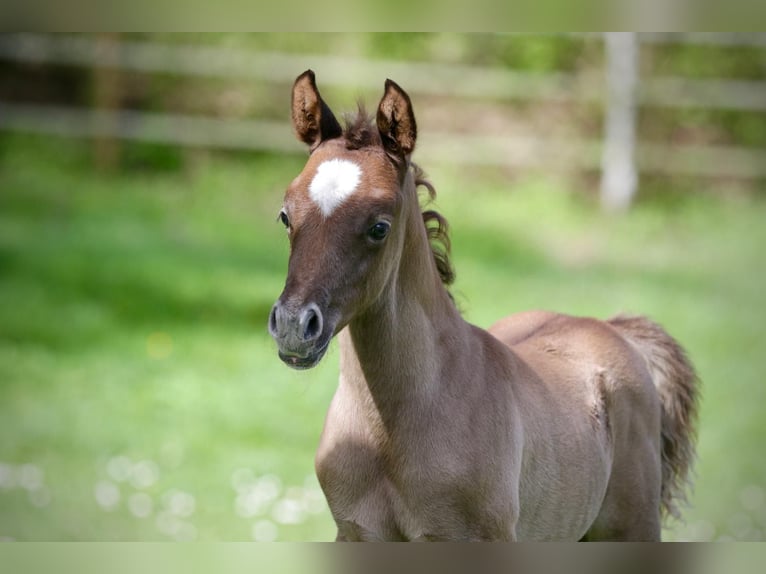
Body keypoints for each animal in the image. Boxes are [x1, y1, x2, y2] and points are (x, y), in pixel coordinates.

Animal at [268, 70, 699, 541]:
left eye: (379, 227)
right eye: (285, 216)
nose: (293, 325)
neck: (391, 428)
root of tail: (612, 328)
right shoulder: (356, 533)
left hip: (632, 526)